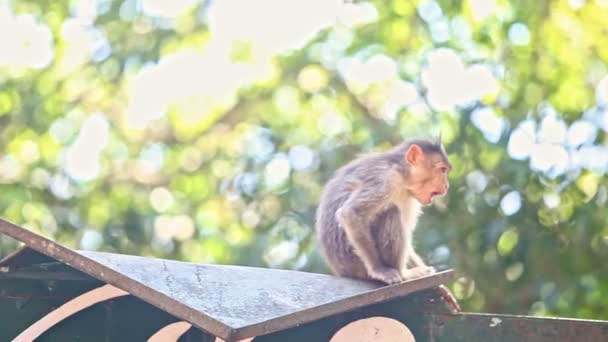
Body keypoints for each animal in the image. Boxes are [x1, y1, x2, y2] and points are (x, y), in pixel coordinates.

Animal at [318, 140, 452, 286]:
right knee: (391, 211)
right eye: (442, 169)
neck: (402, 173)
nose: (446, 186)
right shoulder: (385, 179)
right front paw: (379, 270)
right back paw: (405, 275)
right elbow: (350, 213)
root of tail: (342, 271)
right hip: (356, 263)